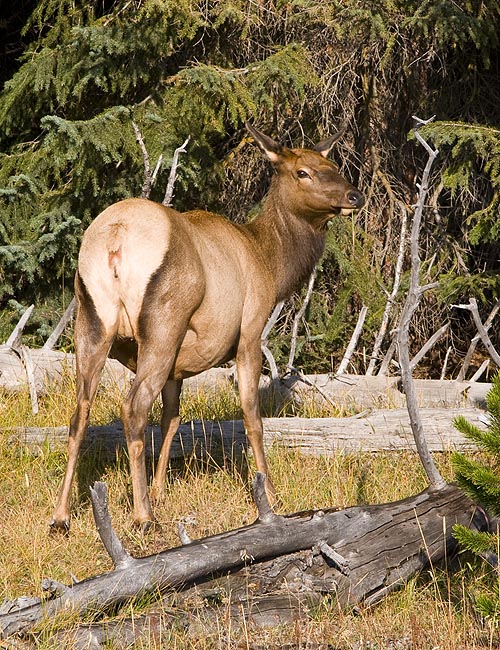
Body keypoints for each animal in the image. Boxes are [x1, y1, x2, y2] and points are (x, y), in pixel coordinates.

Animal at [50, 123, 365, 533]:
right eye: (303, 172)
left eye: (332, 164)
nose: (354, 195)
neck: (271, 264)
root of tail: (115, 239)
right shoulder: (250, 332)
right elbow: (251, 416)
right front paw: (271, 494)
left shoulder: (178, 366)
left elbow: (171, 419)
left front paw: (161, 490)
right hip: (163, 322)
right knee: (133, 408)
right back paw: (142, 516)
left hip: (90, 320)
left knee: (79, 413)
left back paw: (61, 516)